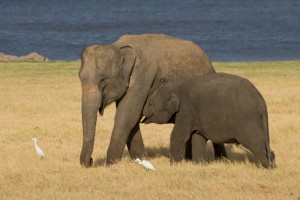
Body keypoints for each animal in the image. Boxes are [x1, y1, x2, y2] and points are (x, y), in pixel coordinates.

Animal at [78, 33, 226, 166]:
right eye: (80, 77)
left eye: (103, 80)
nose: (90, 161)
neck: (119, 47)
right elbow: (132, 118)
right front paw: (140, 160)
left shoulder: (143, 75)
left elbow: (126, 115)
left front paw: (110, 164)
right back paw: (190, 159)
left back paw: (220, 160)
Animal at [143, 72, 276, 168]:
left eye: (150, 103)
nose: (142, 113)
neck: (176, 85)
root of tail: (259, 98)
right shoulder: (195, 116)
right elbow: (198, 137)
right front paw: (198, 165)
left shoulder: (185, 111)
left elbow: (179, 136)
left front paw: (174, 165)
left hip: (246, 118)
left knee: (255, 141)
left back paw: (265, 167)